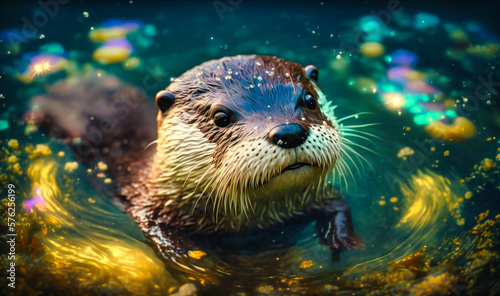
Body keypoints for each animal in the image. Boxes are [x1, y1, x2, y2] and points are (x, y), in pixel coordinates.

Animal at [30, 55, 364, 262]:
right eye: (221, 117)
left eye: (308, 100)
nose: (290, 131)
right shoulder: (150, 212)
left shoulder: (315, 196)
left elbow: (339, 205)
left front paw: (343, 241)